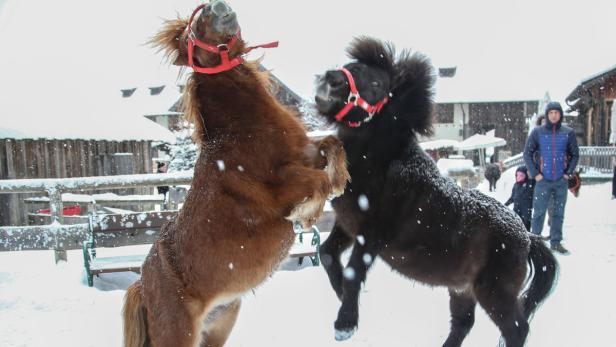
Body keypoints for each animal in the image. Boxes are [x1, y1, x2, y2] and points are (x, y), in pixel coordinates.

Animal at [122, 1, 348, 346]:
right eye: (189, 36)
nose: (215, 7)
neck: (240, 130)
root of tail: (141, 287)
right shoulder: (283, 186)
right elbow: (316, 183)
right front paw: (306, 213)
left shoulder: (306, 155)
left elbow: (333, 145)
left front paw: (339, 182)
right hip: (179, 335)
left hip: (219, 325)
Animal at [316, 36, 556, 347]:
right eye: (349, 66)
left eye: (377, 83)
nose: (330, 81)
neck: (382, 161)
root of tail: (527, 236)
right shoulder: (348, 225)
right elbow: (326, 254)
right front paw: (341, 296)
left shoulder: (371, 234)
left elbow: (353, 271)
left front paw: (345, 324)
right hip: (462, 289)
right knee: (463, 324)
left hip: (494, 292)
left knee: (516, 328)